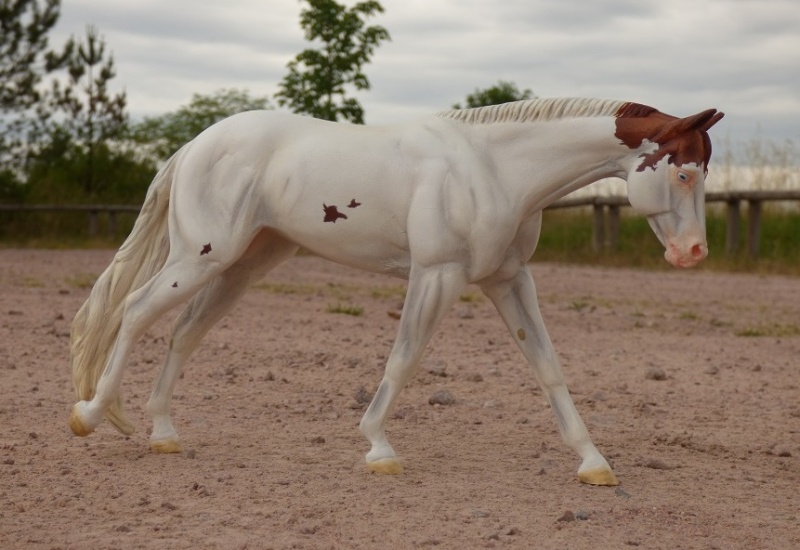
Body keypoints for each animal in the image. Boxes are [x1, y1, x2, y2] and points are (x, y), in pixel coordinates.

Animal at [70, 99, 724, 488]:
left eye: (705, 173)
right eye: (682, 171)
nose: (693, 253)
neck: (493, 169)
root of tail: (196, 146)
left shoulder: (509, 280)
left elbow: (548, 367)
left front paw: (594, 463)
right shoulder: (436, 274)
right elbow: (404, 359)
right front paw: (379, 448)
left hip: (241, 266)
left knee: (184, 333)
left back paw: (163, 435)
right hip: (200, 256)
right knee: (134, 313)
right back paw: (91, 416)